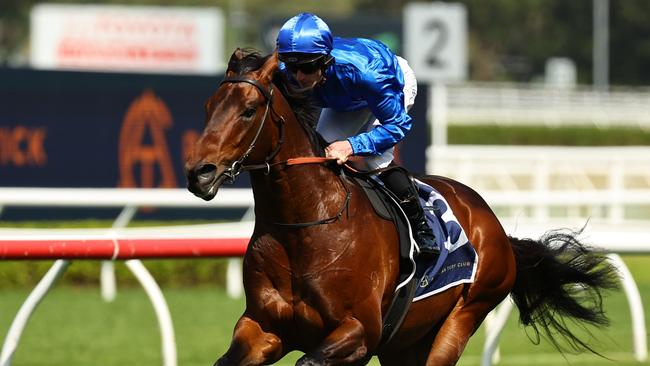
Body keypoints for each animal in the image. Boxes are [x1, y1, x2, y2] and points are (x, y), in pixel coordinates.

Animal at [184, 49, 616, 366]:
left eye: (248, 110)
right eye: (207, 106)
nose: (199, 173)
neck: (304, 225)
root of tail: (494, 224)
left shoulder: (359, 332)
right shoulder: (263, 327)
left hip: (463, 316)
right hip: (403, 344)